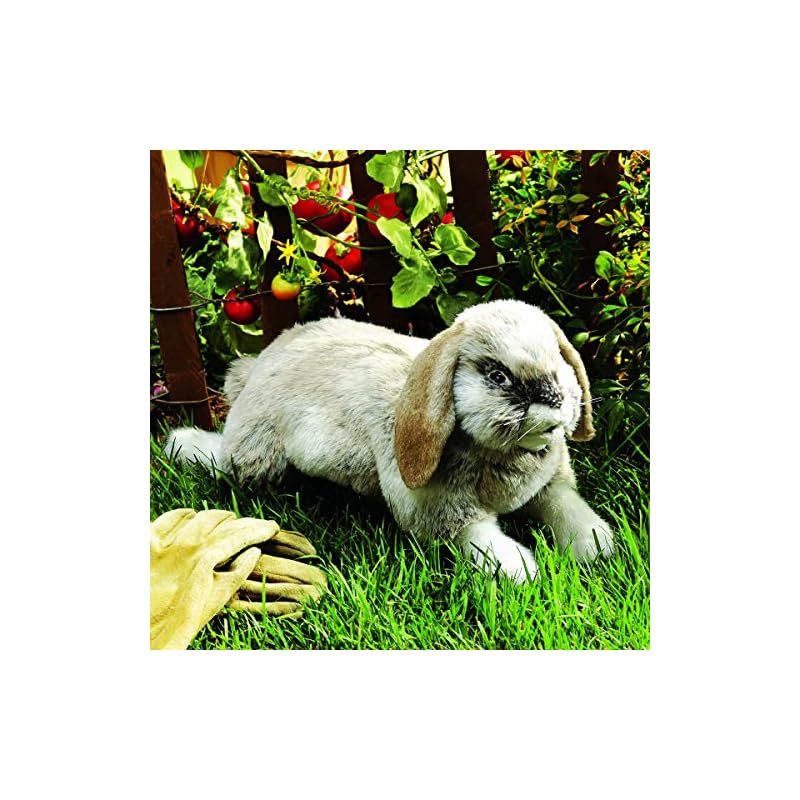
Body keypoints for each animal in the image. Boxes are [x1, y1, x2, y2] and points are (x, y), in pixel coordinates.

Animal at [165, 299, 614, 582]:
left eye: (558, 361)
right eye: (497, 376)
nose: (555, 401)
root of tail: (261, 362)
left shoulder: (550, 487)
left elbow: (568, 508)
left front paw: (598, 546)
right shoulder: (442, 510)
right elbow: (479, 536)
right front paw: (519, 570)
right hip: (254, 452)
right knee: (220, 459)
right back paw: (181, 443)